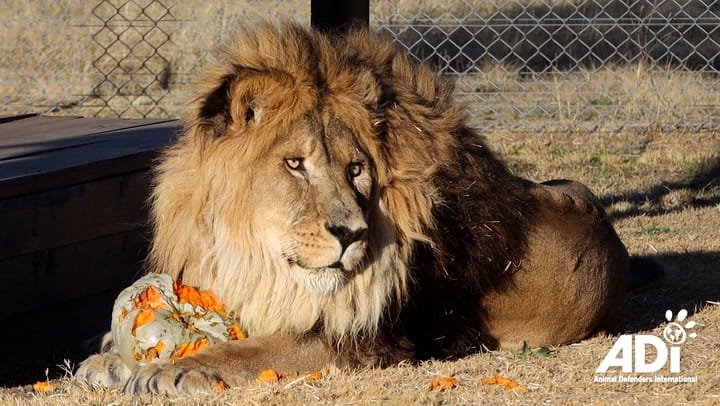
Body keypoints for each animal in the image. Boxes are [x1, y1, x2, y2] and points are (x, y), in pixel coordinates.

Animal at [76, 23, 648, 394]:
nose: (350, 234)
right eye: (295, 164)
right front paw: (106, 359)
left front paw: (175, 369)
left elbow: (265, 349)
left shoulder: (374, 340)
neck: (254, 255)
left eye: (355, 169)